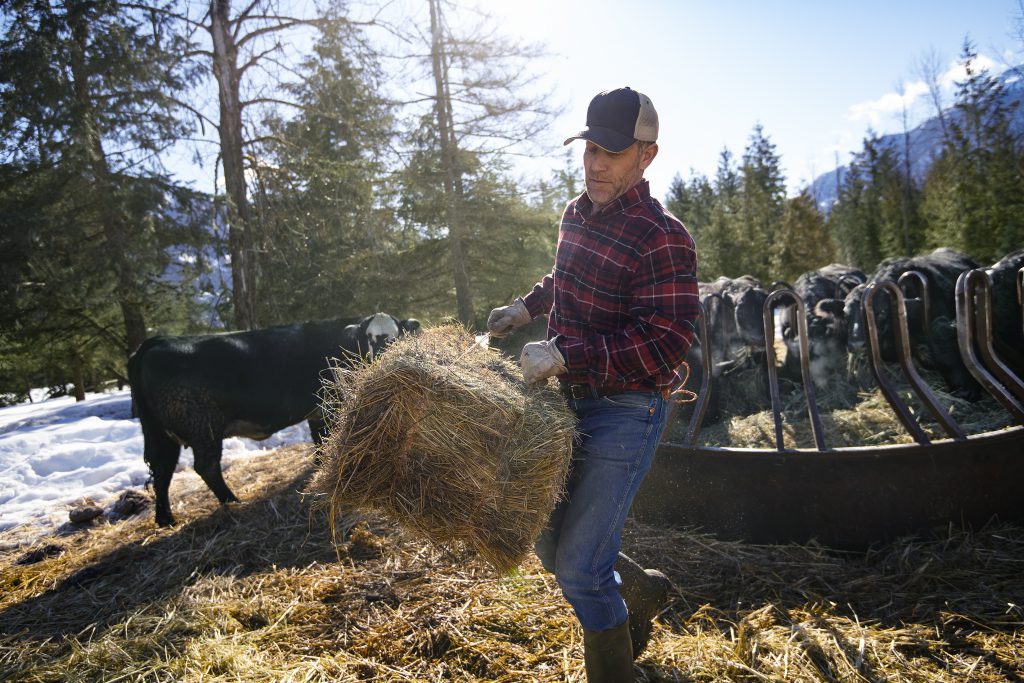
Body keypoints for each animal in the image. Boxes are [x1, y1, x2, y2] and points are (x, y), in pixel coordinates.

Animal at [130, 313, 417, 528]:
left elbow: (320, 442)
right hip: (202, 426)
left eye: (397, 334)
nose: (385, 358)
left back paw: (165, 518)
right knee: (206, 466)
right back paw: (232, 501)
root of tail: (155, 342)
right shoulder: (330, 405)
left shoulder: (316, 412)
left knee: (162, 470)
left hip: (158, 432)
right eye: (368, 338)